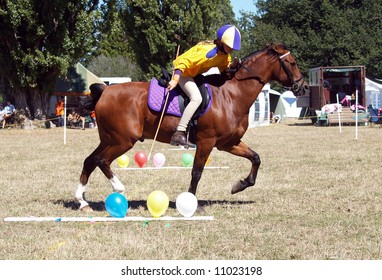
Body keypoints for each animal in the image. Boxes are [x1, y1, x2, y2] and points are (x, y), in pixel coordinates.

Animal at [75, 43, 310, 210]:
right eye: (293, 63)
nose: (304, 87)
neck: (232, 94)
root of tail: (106, 90)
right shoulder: (207, 141)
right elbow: (197, 172)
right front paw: (191, 203)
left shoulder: (229, 143)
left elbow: (256, 158)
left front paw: (240, 185)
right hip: (123, 140)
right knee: (101, 160)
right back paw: (117, 187)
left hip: (110, 138)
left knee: (90, 160)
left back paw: (82, 200)